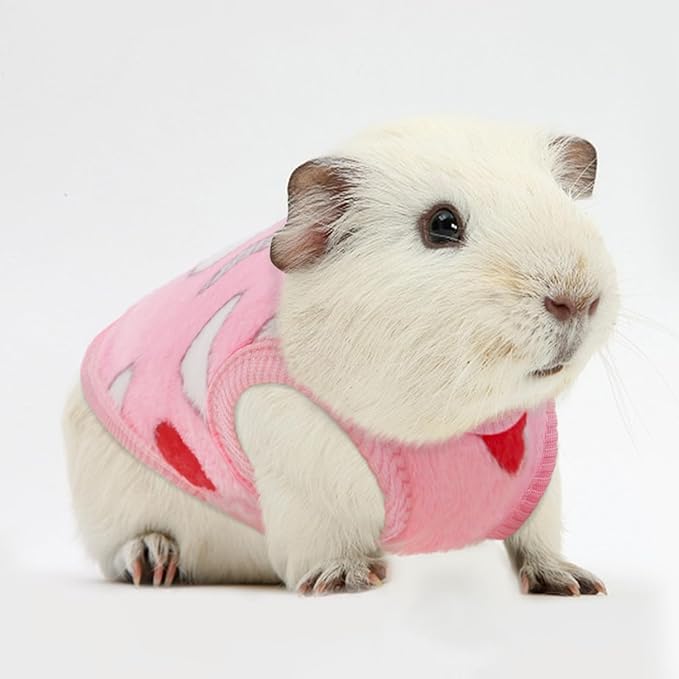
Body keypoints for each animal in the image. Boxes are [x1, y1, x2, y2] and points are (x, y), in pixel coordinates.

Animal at [63, 117, 617, 595]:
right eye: (442, 224)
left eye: (562, 203)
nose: (577, 298)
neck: (461, 430)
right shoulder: (298, 463)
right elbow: (325, 536)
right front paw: (345, 579)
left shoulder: (541, 483)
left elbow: (536, 538)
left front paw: (574, 583)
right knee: (125, 548)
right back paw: (154, 561)